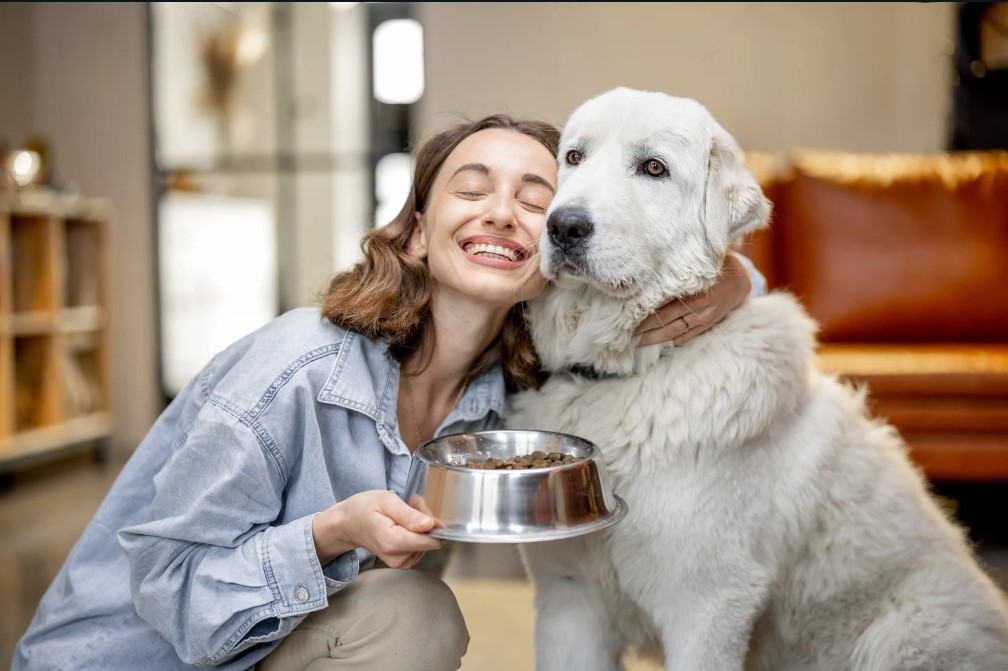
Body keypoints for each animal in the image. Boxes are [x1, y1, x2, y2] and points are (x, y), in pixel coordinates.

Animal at [512, 88, 1008, 668]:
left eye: (654, 168)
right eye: (574, 157)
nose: (564, 226)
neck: (631, 370)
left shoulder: (707, 605)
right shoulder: (569, 601)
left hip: (898, 638)